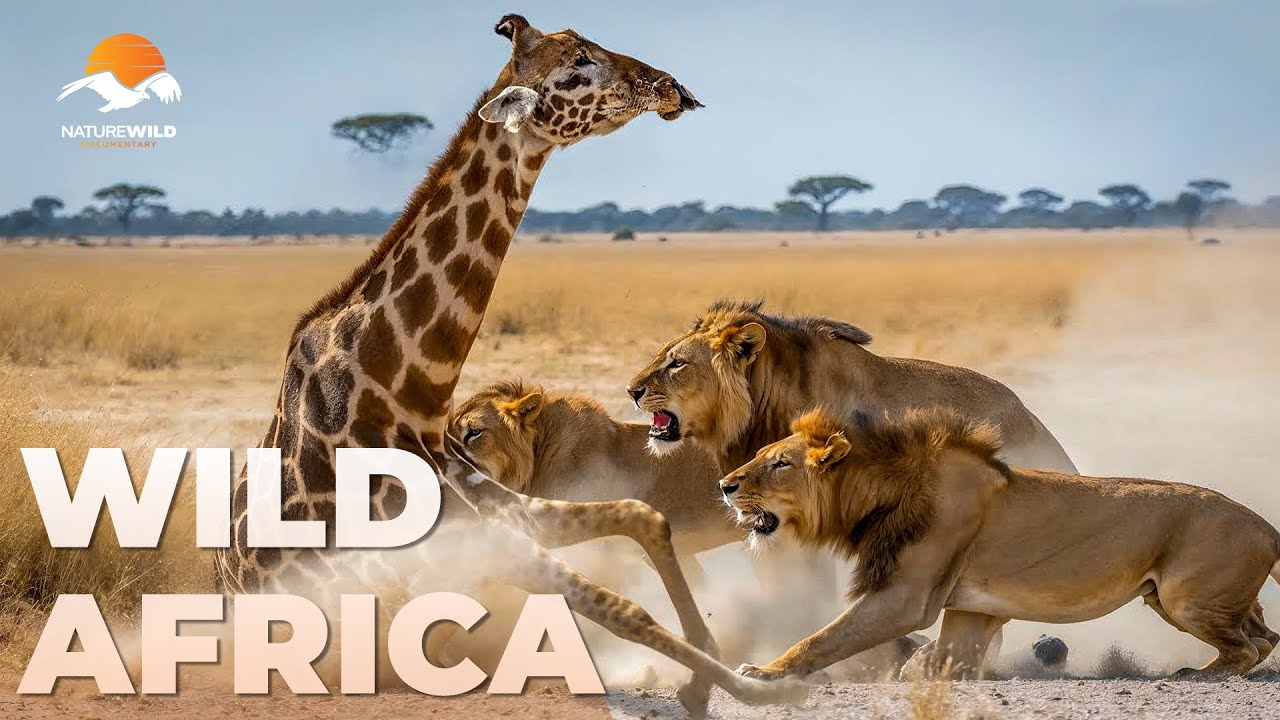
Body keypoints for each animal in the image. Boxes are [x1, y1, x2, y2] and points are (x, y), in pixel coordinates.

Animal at [720, 407, 1280, 682]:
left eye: (780, 463)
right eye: (763, 454)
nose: (725, 484)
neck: (883, 491)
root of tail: (1265, 525)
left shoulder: (906, 597)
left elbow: (822, 638)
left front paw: (763, 671)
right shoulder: (973, 606)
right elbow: (950, 656)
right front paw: (921, 671)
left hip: (1186, 599)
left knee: (1249, 647)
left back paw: (1199, 674)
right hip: (1181, 597)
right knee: (1264, 636)